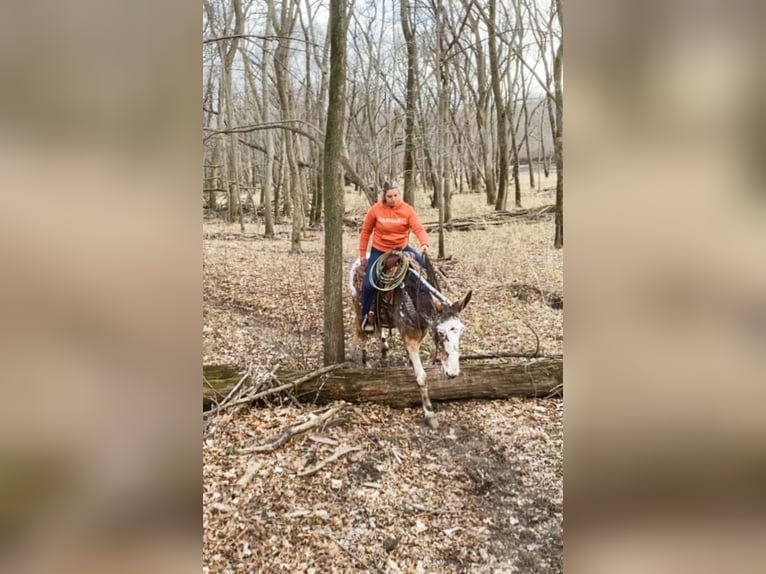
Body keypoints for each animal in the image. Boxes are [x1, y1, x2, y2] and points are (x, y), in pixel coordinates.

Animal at [350, 250, 474, 430]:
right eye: (440, 332)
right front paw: (429, 413)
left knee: (380, 329)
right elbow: (422, 377)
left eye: (461, 330)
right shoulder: (409, 338)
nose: (453, 373)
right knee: (363, 333)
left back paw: (384, 349)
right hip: (358, 308)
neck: (414, 298)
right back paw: (366, 361)